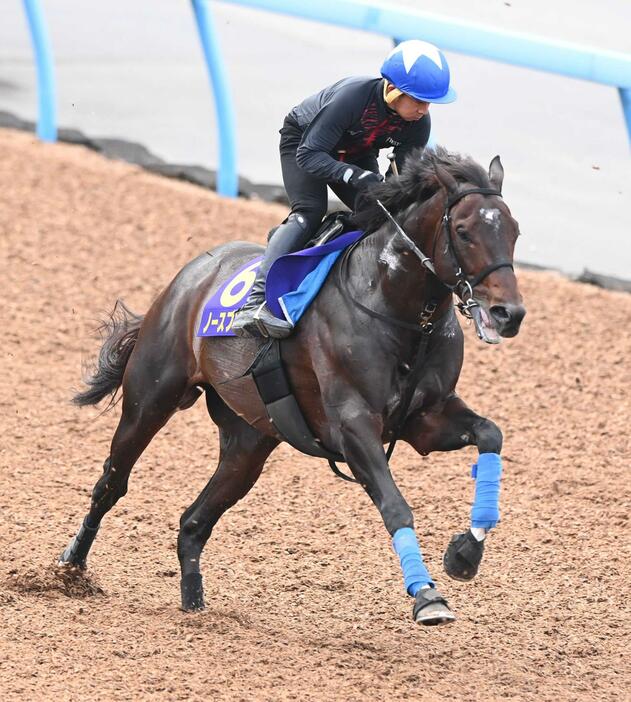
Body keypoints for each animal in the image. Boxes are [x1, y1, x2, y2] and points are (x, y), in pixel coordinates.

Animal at [59, 148, 524, 628]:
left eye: (514, 231)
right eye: (464, 231)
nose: (508, 314)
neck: (394, 307)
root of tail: (191, 275)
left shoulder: (426, 420)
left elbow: (490, 434)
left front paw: (465, 553)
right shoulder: (353, 428)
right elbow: (395, 505)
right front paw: (427, 595)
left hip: (249, 441)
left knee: (193, 522)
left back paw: (196, 608)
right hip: (150, 399)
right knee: (112, 483)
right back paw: (71, 567)